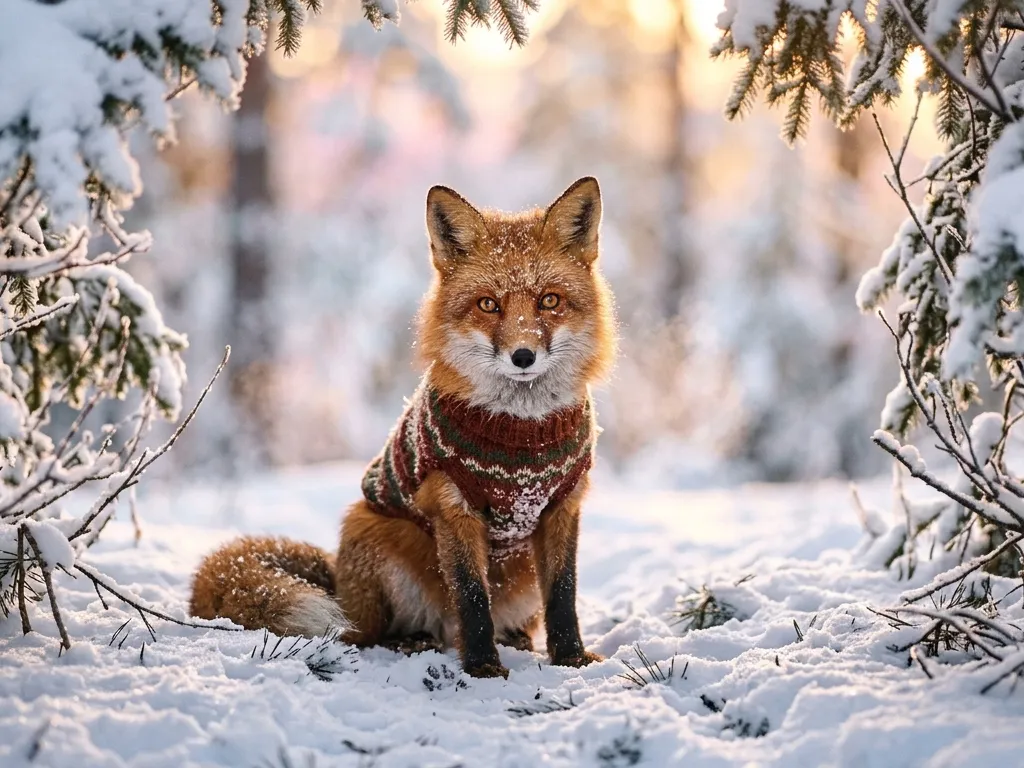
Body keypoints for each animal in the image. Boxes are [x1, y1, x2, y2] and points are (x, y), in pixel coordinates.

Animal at [190, 177, 617, 678]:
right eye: (488, 305)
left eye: (549, 301)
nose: (523, 356)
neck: (520, 429)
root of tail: (337, 577)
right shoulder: (451, 502)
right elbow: (472, 597)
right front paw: (482, 668)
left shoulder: (562, 504)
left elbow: (564, 595)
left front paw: (571, 658)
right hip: (379, 534)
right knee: (368, 634)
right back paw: (413, 642)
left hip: (520, 574)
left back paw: (509, 640)